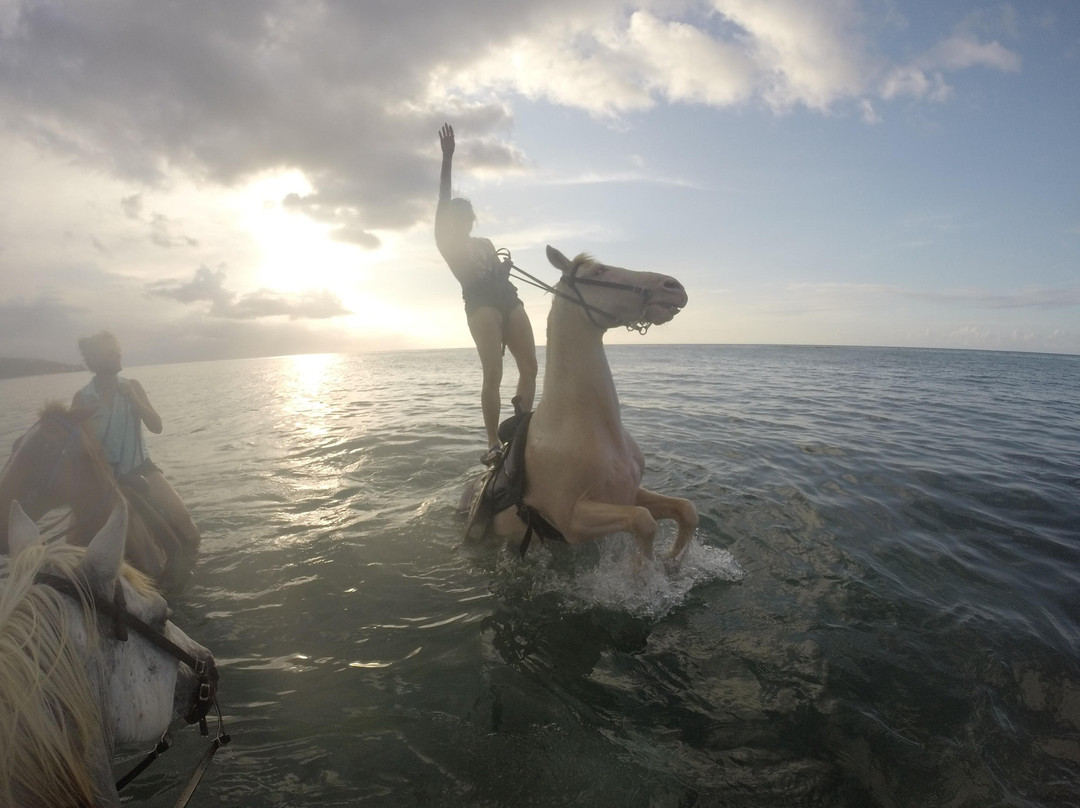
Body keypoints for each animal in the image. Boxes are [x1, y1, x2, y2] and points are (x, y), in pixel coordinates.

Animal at [470, 246, 699, 561]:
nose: (673, 287)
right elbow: (643, 521)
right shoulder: (573, 520)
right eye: (598, 271)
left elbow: (686, 510)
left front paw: (673, 562)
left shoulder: (629, 494)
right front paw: (644, 571)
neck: (580, 421)